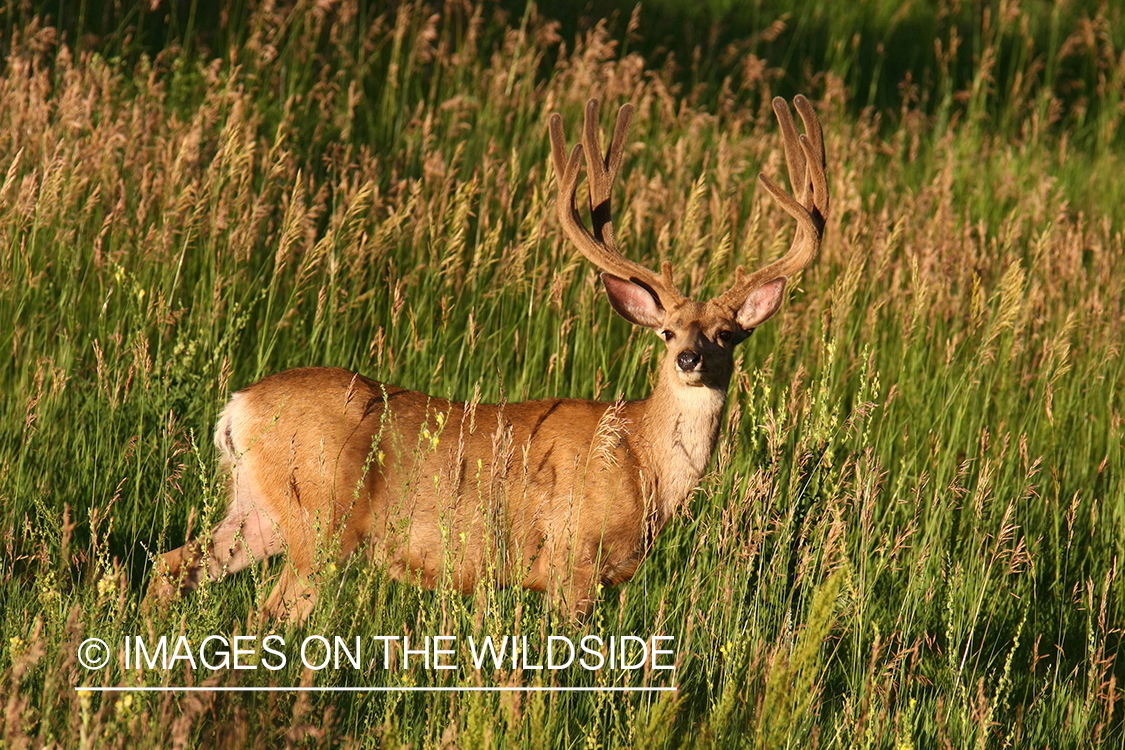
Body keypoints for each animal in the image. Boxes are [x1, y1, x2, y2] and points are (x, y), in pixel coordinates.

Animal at [147, 95, 828, 620]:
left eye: (727, 334)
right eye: (666, 332)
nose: (690, 358)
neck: (642, 459)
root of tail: (238, 407)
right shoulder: (571, 562)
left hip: (257, 510)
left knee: (172, 565)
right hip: (321, 519)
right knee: (270, 610)